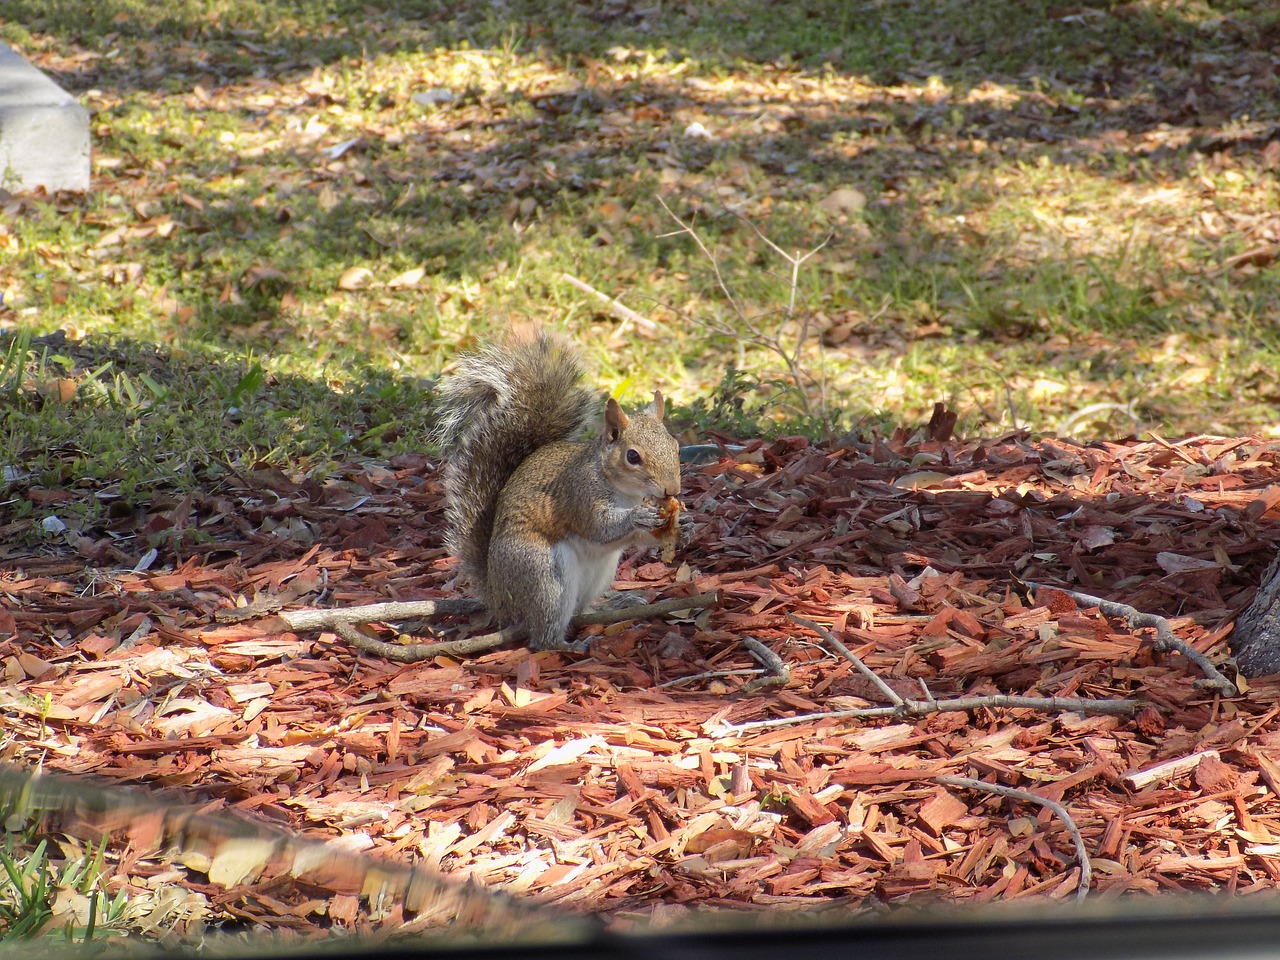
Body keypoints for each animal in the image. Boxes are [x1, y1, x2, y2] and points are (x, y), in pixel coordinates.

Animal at [435, 332, 686, 655]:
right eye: (633, 456)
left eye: (675, 446)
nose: (672, 489)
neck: (622, 490)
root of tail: (500, 600)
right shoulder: (578, 494)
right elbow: (599, 527)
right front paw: (637, 515)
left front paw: (685, 525)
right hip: (543, 575)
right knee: (543, 635)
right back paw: (568, 645)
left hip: (600, 573)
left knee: (580, 611)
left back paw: (613, 605)